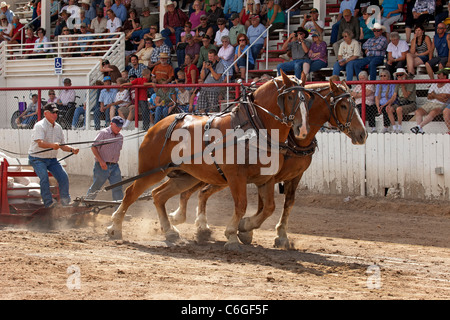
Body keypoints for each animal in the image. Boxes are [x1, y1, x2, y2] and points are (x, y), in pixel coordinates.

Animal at [107, 70, 312, 250]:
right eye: (290, 97)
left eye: (308, 99)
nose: (302, 129)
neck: (253, 127)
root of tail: (157, 125)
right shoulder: (236, 176)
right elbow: (241, 205)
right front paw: (232, 235)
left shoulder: (266, 179)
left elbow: (269, 207)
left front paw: (244, 227)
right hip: (152, 171)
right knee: (131, 193)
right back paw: (115, 228)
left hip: (185, 176)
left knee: (158, 195)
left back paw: (170, 231)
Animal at [160, 77, 368, 248]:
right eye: (343, 106)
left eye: (355, 104)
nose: (363, 134)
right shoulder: (268, 176)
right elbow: (264, 206)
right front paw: (246, 229)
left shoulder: (294, 176)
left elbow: (287, 203)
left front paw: (280, 235)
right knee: (191, 192)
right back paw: (183, 219)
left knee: (200, 192)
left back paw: (195, 224)